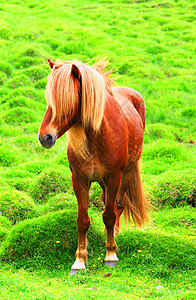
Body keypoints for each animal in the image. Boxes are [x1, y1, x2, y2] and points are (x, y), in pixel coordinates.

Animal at [38, 58, 149, 274]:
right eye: (48, 99)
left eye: (67, 100)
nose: (44, 137)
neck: (98, 137)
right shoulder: (80, 180)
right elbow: (82, 220)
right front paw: (79, 261)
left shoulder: (114, 177)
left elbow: (109, 215)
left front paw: (110, 255)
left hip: (126, 174)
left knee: (118, 206)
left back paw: (114, 239)